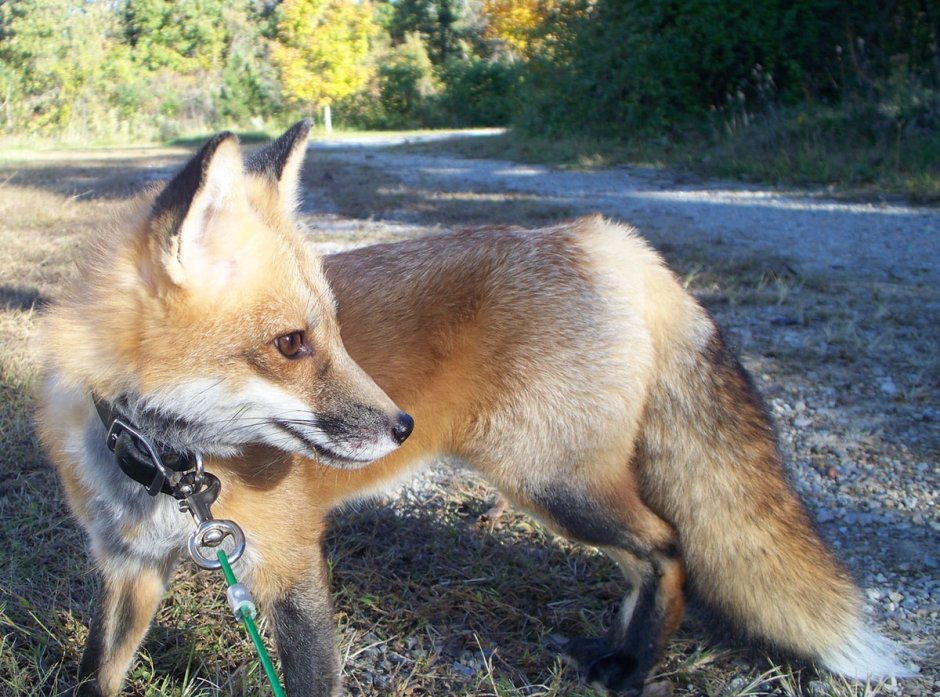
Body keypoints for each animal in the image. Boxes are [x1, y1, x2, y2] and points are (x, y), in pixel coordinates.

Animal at [37, 121, 910, 696]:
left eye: (334, 332)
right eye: (291, 343)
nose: (401, 426)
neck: (163, 467)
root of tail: (602, 235)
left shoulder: (287, 568)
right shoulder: (126, 567)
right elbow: (95, 673)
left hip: (555, 483)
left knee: (668, 547)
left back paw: (630, 666)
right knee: (650, 555)